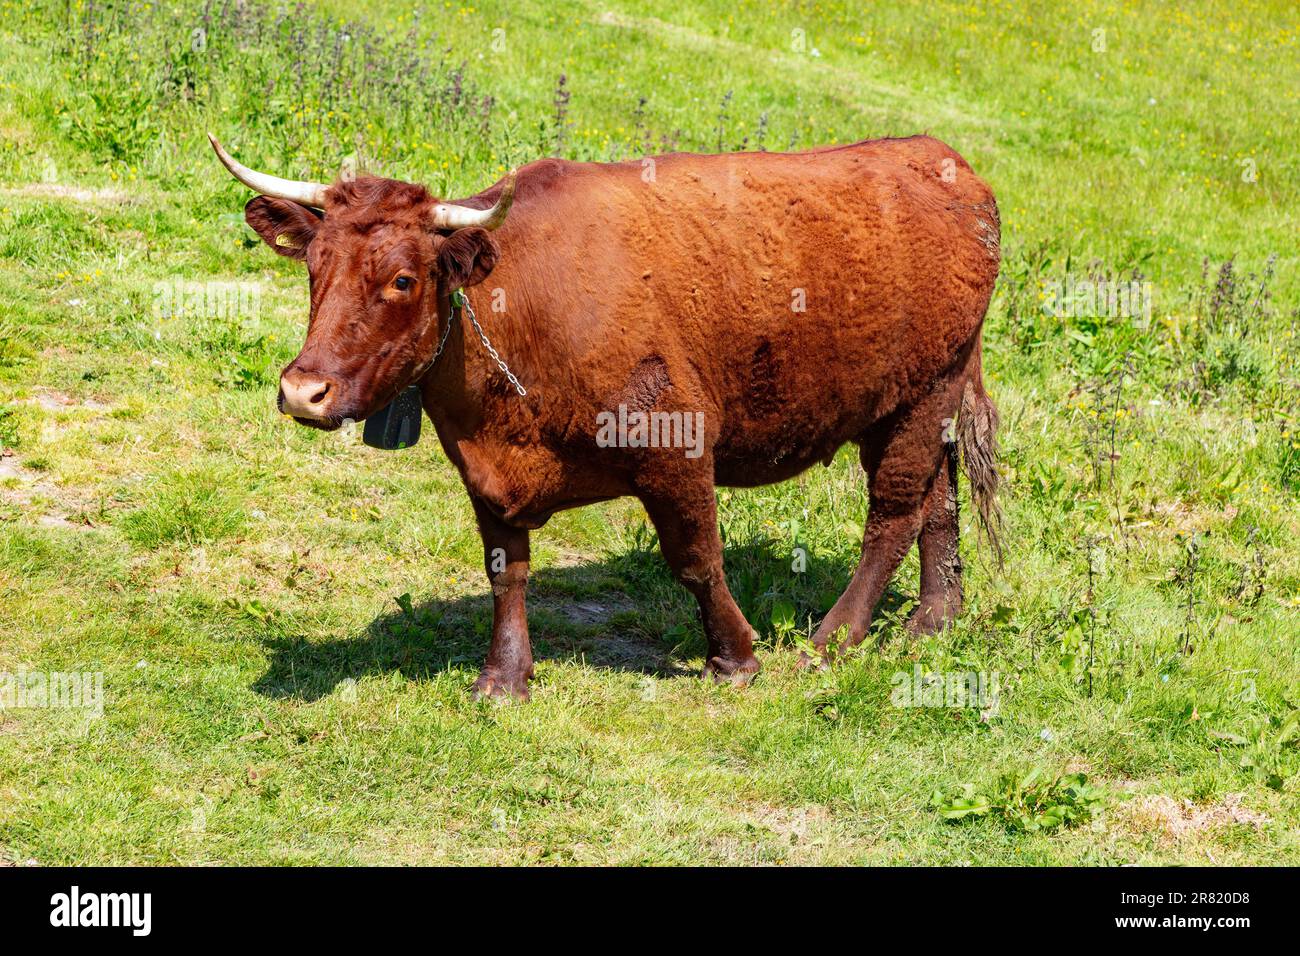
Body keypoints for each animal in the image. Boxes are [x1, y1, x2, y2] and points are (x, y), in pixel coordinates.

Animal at [210, 131, 1002, 700]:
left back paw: (833, 640)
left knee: (894, 512)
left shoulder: (675, 443)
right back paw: (934, 620)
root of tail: (942, 160)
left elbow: (696, 558)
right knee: (938, 501)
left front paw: (735, 657)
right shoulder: (484, 470)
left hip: (923, 392)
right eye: (314, 265)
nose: (302, 390)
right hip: (919, 401)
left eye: (403, 279)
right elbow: (507, 570)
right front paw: (505, 677)